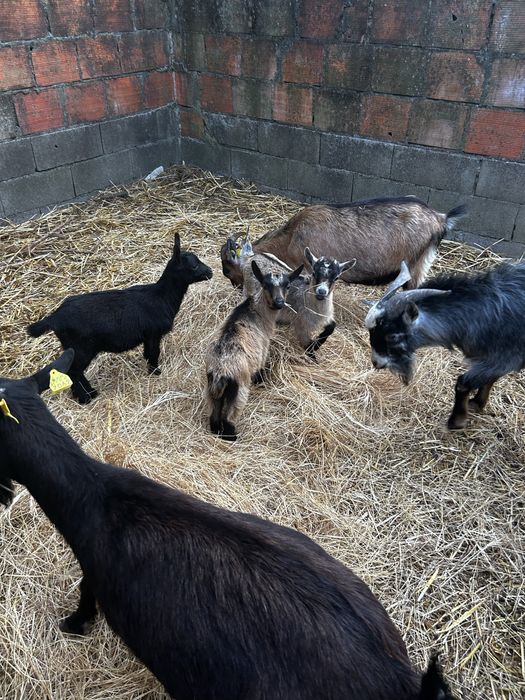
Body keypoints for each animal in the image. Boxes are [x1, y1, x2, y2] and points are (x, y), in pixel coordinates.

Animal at [27, 233, 212, 403]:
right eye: (194, 265)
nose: (210, 272)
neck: (161, 296)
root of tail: (54, 317)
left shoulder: (148, 336)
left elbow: (147, 353)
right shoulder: (153, 334)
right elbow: (153, 353)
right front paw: (155, 372)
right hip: (81, 348)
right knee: (73, 371)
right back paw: (86, 397)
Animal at [206, 260, 303, 441]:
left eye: (287, 285)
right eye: (266, 285)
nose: (279, 302)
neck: (256, 310)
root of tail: (220, 371)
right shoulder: (263, 350)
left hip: (210, 388)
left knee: (214, 417)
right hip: (240, 388)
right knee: (228, 419)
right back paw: (233, 437)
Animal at [365, 260, 525, 429]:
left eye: (393, 336)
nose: (376, 362)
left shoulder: (506, 357)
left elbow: (464, 383)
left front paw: (456, 421)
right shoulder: (495, 358)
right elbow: (490, 378)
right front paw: (477, 403)